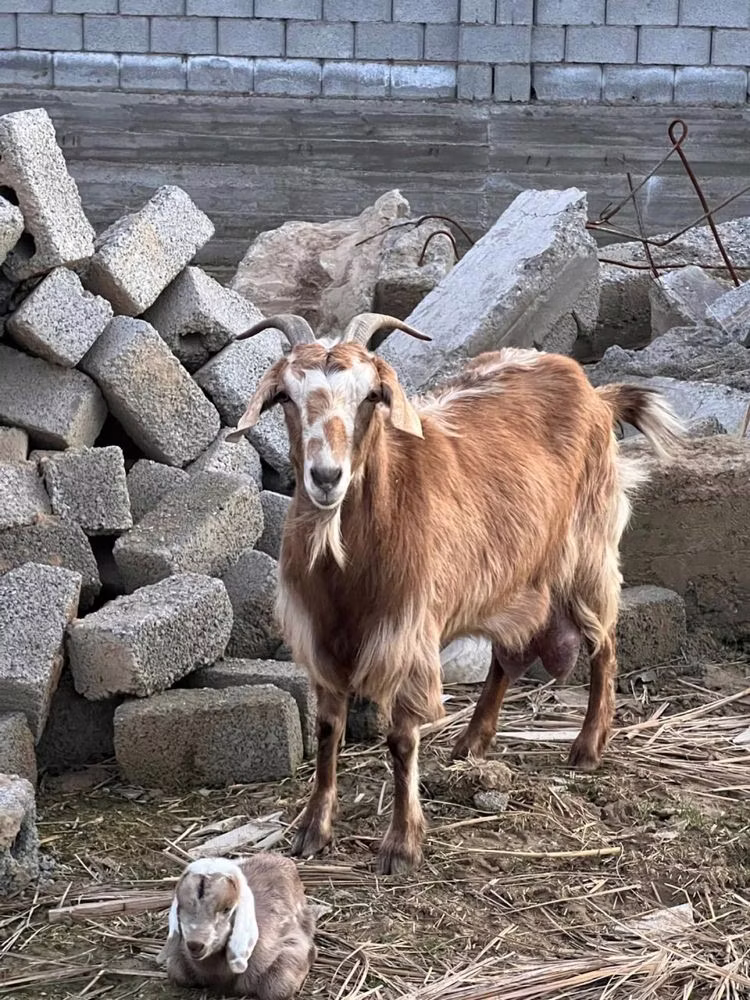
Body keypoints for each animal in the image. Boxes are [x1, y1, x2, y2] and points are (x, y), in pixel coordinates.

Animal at [159, 854, 316, 999]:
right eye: (181, 906)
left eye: (227, 909)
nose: (195, 945)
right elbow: (177, 973)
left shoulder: (291, 942)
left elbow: (277, 989)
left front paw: (310, 956)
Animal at [227, 312, 683, 875]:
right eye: (287, 397)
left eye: (370, 396)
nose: (327, 476)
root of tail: (595, 393)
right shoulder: (321, 638)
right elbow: (329, 731)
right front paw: (313, 829)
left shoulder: (409, 633)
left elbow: (401, 740)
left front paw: (402, 845)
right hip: (515, 579)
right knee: (508, 656)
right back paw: (472, 741)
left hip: (588, 552)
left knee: (605, 645)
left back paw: (588, 747)